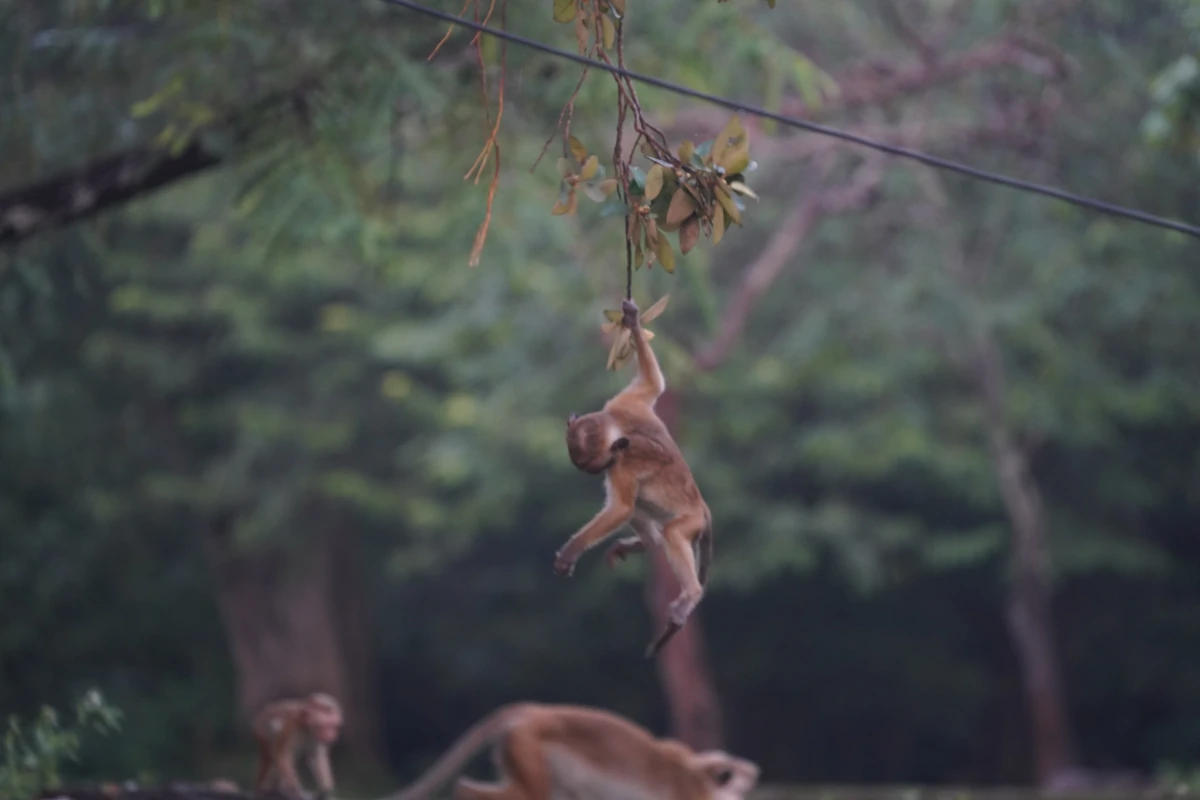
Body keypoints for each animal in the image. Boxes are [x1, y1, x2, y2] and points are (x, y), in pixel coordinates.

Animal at [559, 297, 715, 662]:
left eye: (596, 466)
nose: (596, 471)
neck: (620, 429)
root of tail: (704, 509)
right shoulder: (621, 404)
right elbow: (653, 385)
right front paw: (631, 320)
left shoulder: (622, 466)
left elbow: (619, 508)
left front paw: (572, 550)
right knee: (643, 511)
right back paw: (646, 543)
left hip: (691, 520)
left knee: (668, 529)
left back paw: (690, 592)